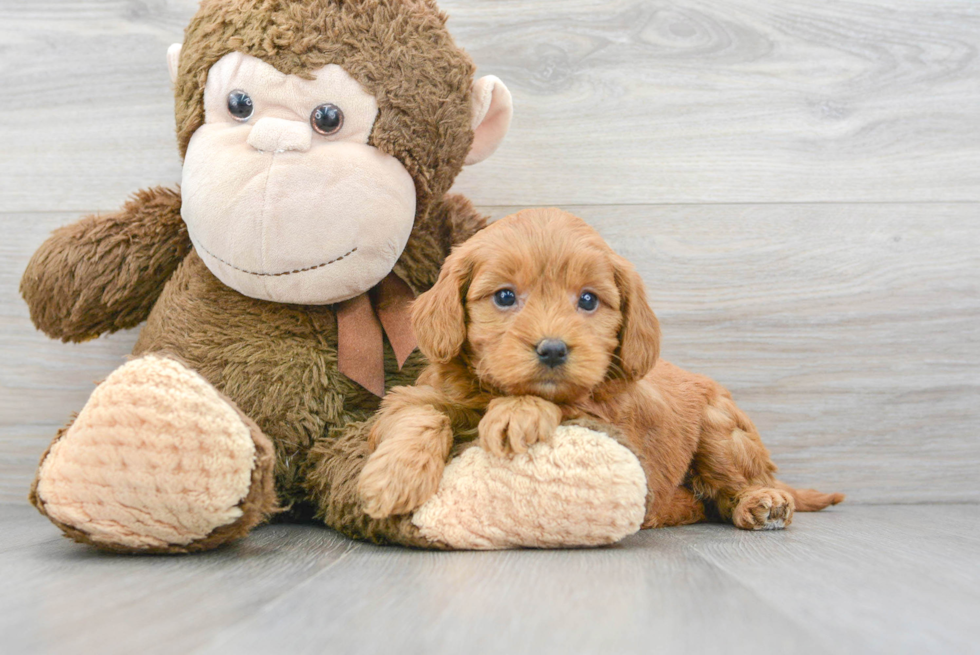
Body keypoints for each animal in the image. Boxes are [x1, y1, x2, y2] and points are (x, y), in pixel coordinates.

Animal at [360, 208, 844, 532]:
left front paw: (518, 412)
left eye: (589, 300)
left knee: (739, 480)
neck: (493, 391)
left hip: (721, 429)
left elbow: (563, 405)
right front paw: (392, 478)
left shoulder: (617, 424)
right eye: (504, 296)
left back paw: (761, 501)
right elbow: (419, 412)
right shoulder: (422, 392)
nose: (553, 349)